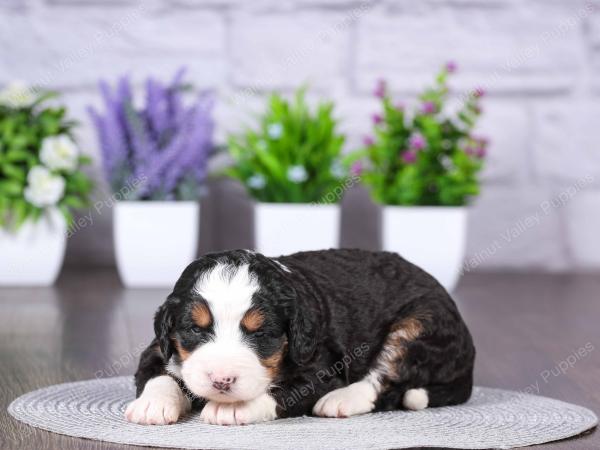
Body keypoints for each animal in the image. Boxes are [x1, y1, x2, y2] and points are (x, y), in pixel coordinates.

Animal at [125, 250, 474, 426]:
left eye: (261, 333)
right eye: (196, 329)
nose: (222, 381)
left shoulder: (324, 365)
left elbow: (283, 390)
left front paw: (233, 408)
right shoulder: (159, 346)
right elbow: (158, 374)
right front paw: (152, 406)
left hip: (420, 324)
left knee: (383, 380)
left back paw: (341, 400)